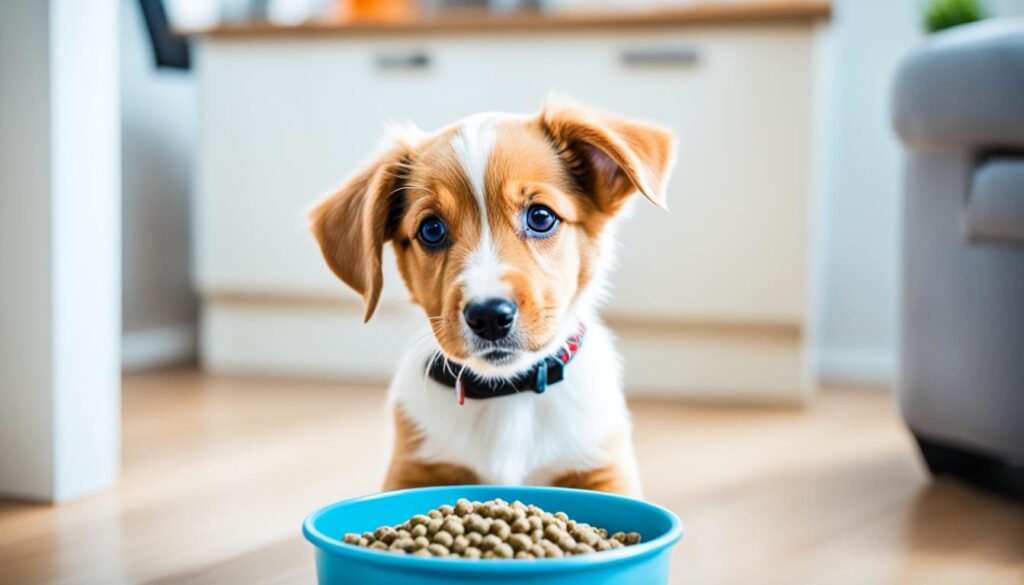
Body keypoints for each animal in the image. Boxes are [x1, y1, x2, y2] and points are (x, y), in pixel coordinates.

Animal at [311, 99, 679, 493]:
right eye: (431, 229)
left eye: (541, 217)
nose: (488, 317)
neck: (506, 394)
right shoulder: (411, 469)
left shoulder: (604, 468)